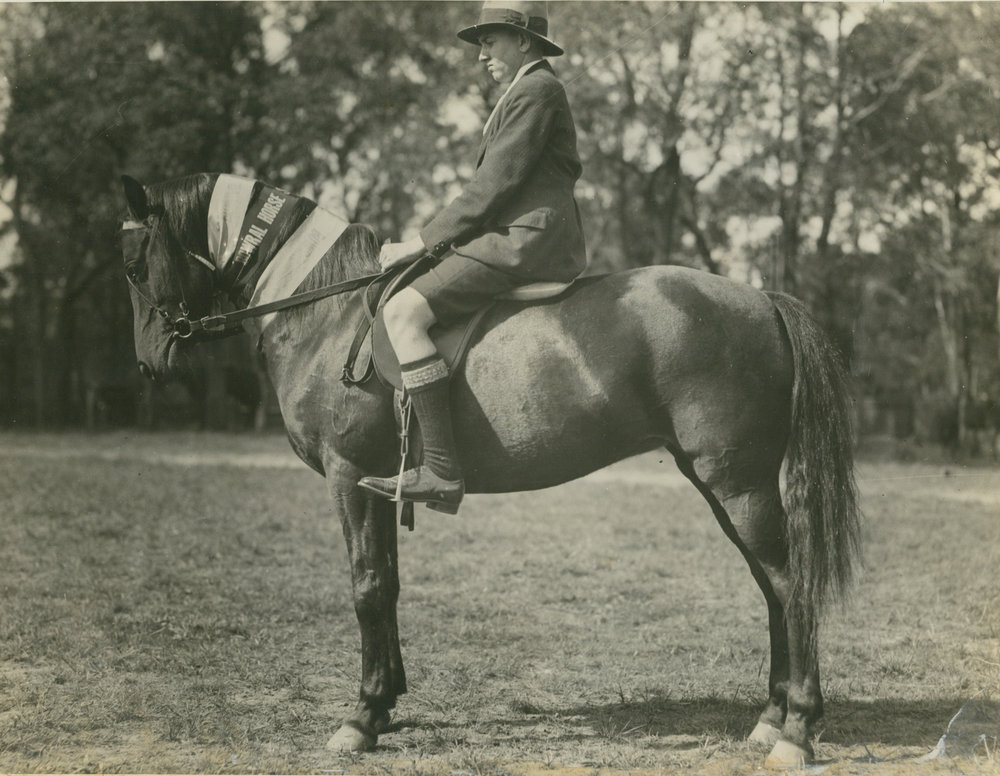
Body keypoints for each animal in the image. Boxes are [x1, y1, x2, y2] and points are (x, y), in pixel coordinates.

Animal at [118, 172, 861, 768]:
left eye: (133, 263)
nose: (148, 362)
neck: (327, 310)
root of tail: (760, 299)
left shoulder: (348, 476)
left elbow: (365, 587)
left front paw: (360, 720)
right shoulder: (378, 483)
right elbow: (388, 586)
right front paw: (388, 704)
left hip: (738, 485)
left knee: (789, 585)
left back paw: (797, 732)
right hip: (726, 486)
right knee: (773, 588)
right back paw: (769, 720)